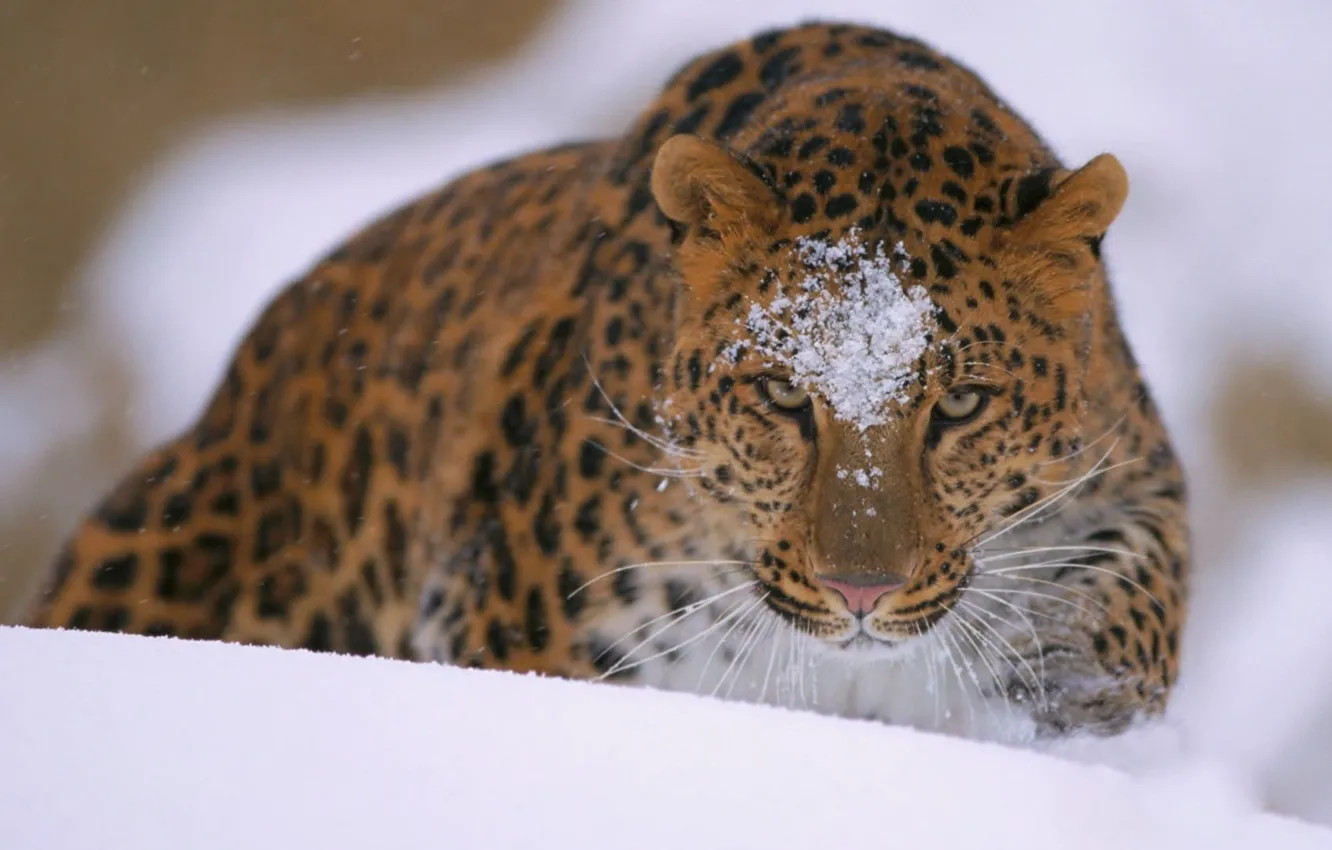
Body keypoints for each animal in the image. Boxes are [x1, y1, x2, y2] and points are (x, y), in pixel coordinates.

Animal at [23, 20, 1189, 741]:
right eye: (782, 398)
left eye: (960, 405)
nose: (863, 593)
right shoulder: (518, 624)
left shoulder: (1131, 461)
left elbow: (1143, 589)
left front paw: (1072, 685)